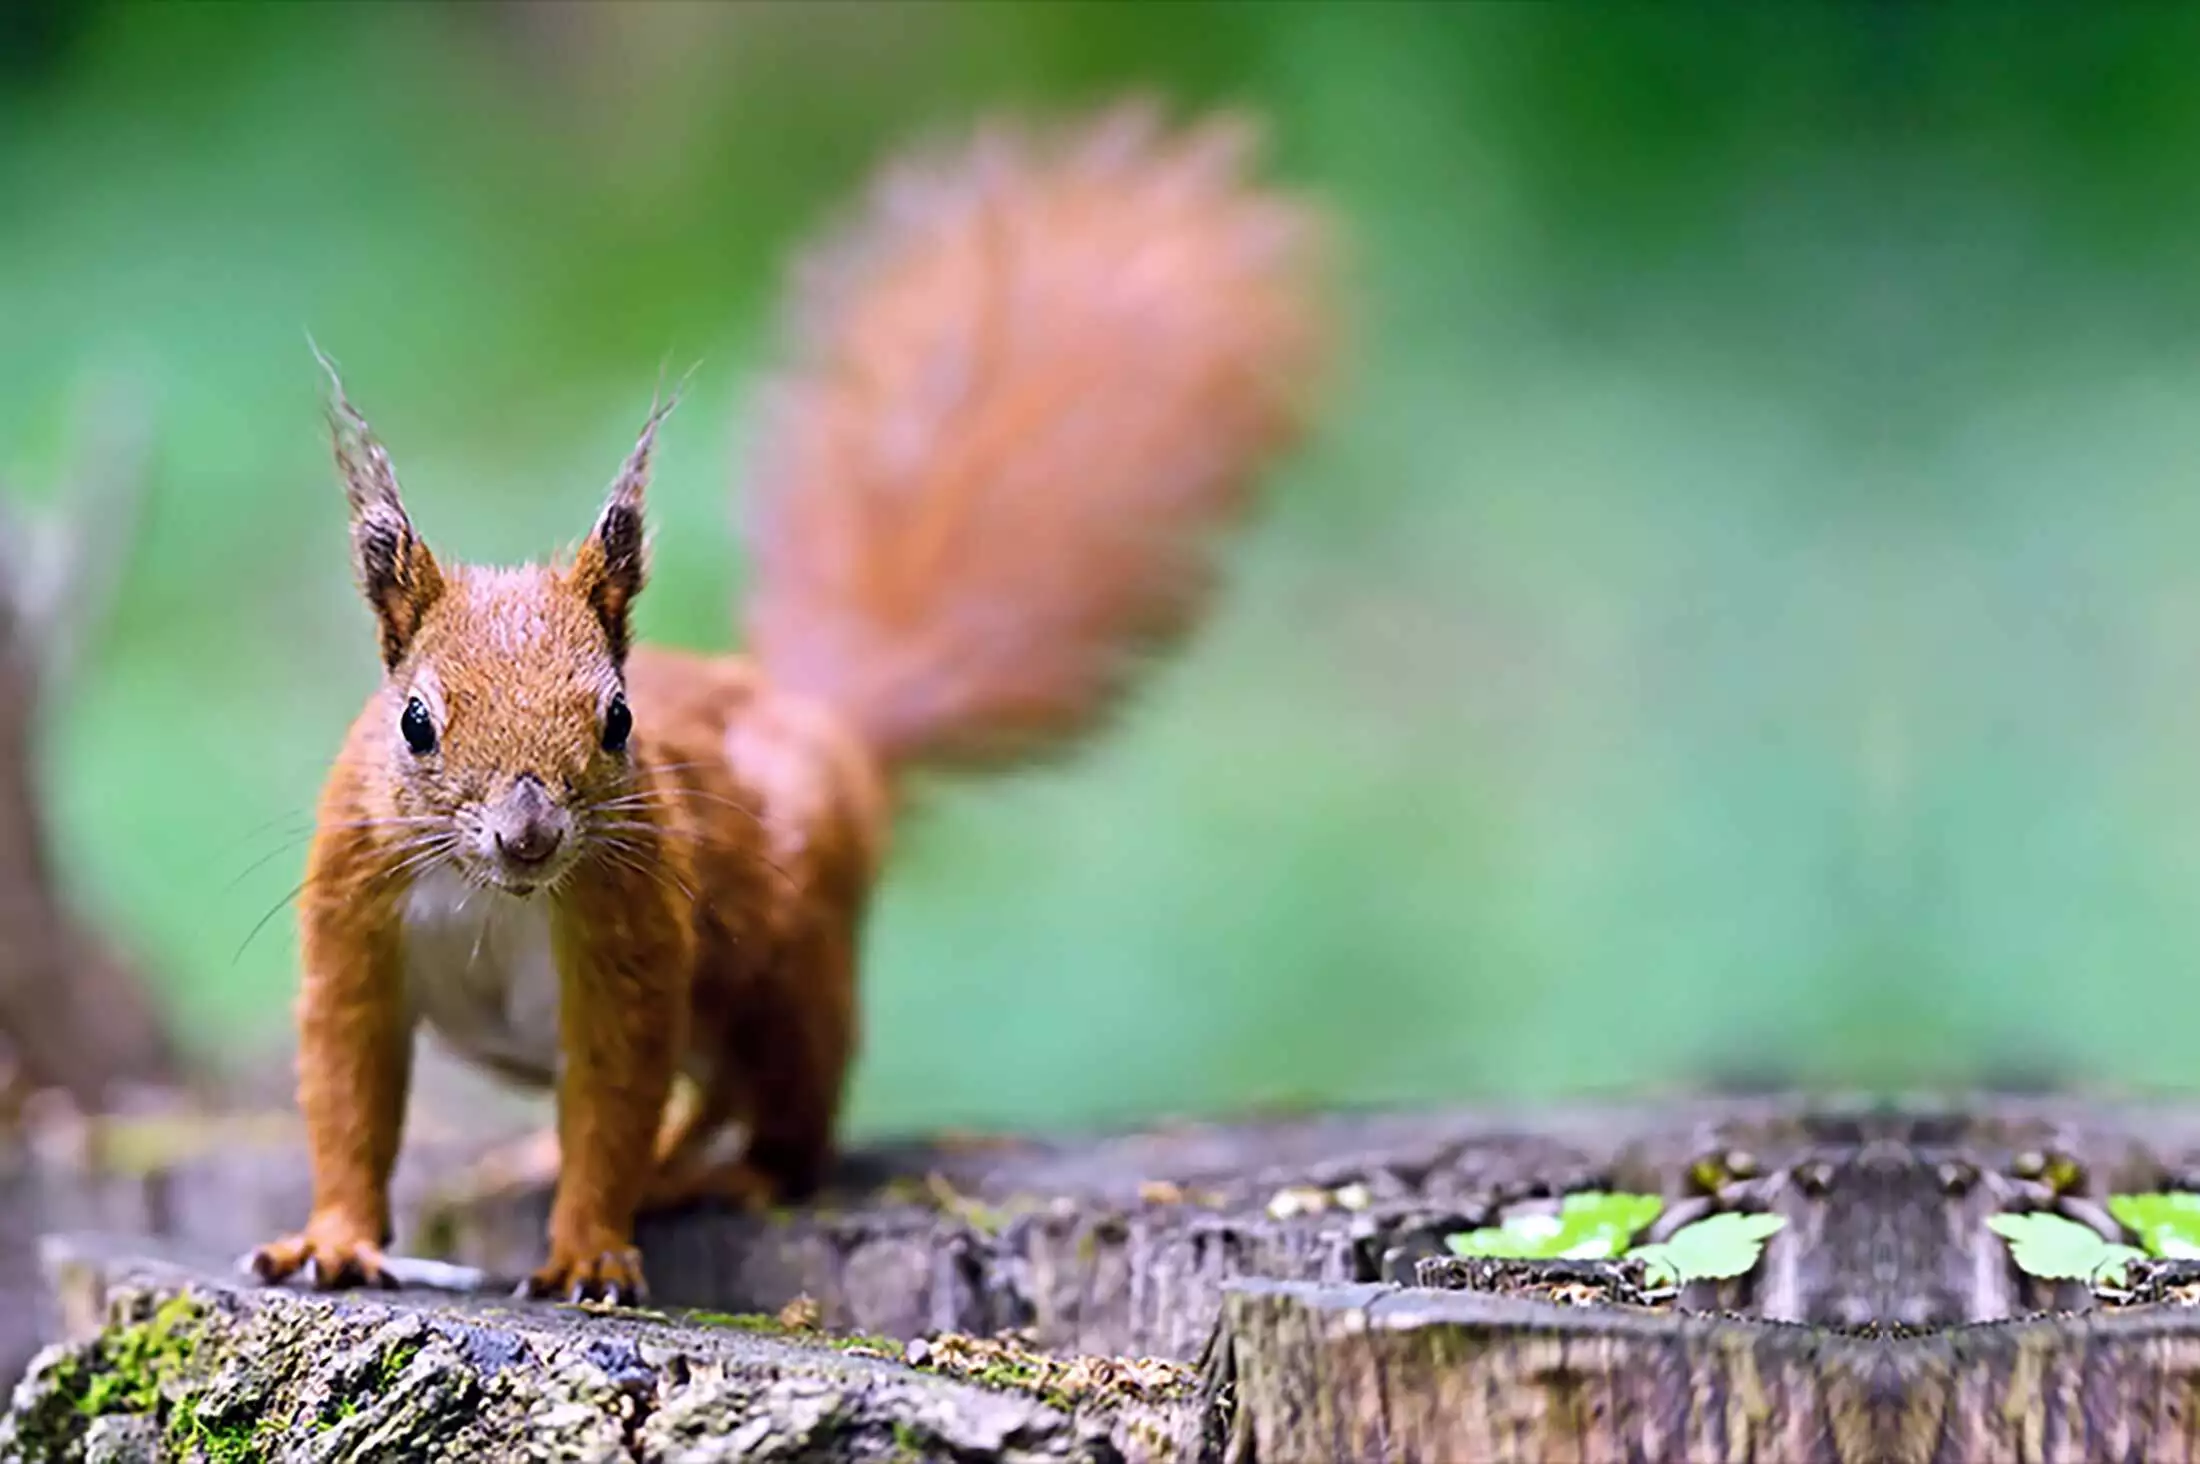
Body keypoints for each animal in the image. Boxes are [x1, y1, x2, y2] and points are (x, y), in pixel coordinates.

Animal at [248, 100, 1335, 1304]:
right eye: (415, 723)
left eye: (619, 720)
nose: (529, 834)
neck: (495, 897)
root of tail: (833, 726)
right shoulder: (354, 923)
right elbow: (347, 1091)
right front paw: (335, 1240)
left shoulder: (633, 936)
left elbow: (613, 1103)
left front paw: (588, 1251)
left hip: (795, 968)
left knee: (783, 1108)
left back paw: (727, 1176)